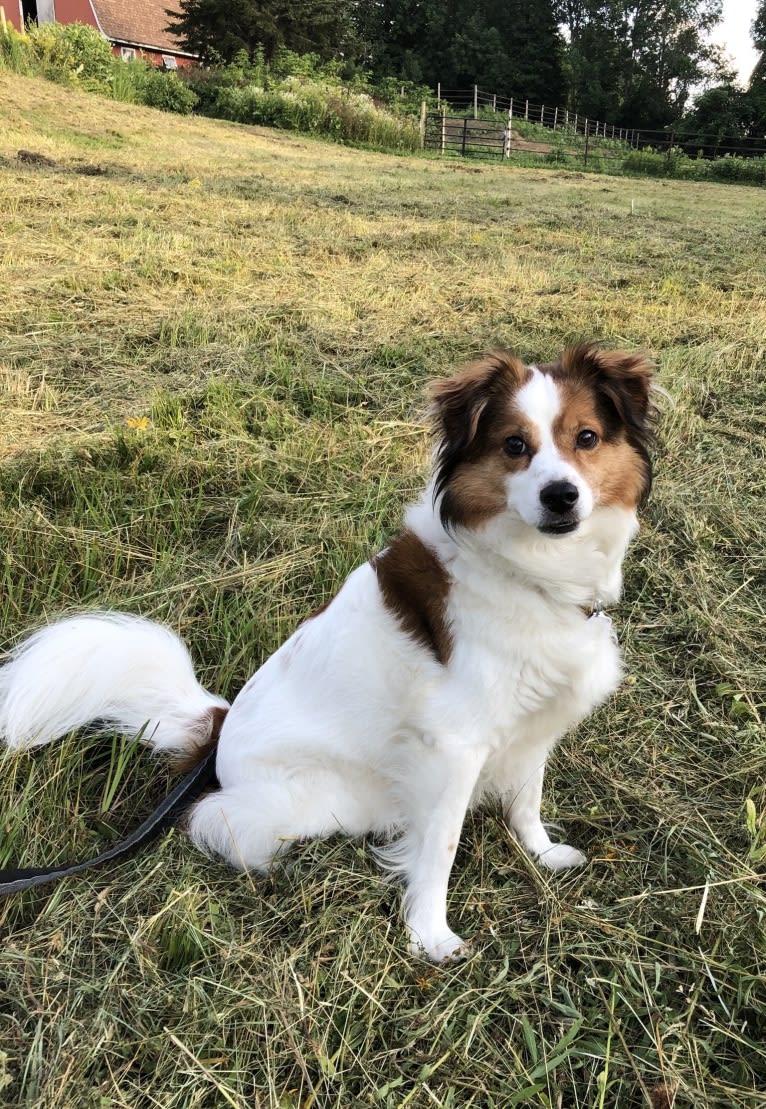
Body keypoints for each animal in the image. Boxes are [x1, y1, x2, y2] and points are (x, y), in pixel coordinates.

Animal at [1, 341, 660, 958]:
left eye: (586, 438)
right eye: (514, 446)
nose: (561, 496)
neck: (526, 569)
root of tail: (218, 729)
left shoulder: (531, 722)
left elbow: (526, 799)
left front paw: (540, 854)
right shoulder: (453, 746)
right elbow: (440, 847)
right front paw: (430, 935)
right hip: (316, 799)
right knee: (214, 818)